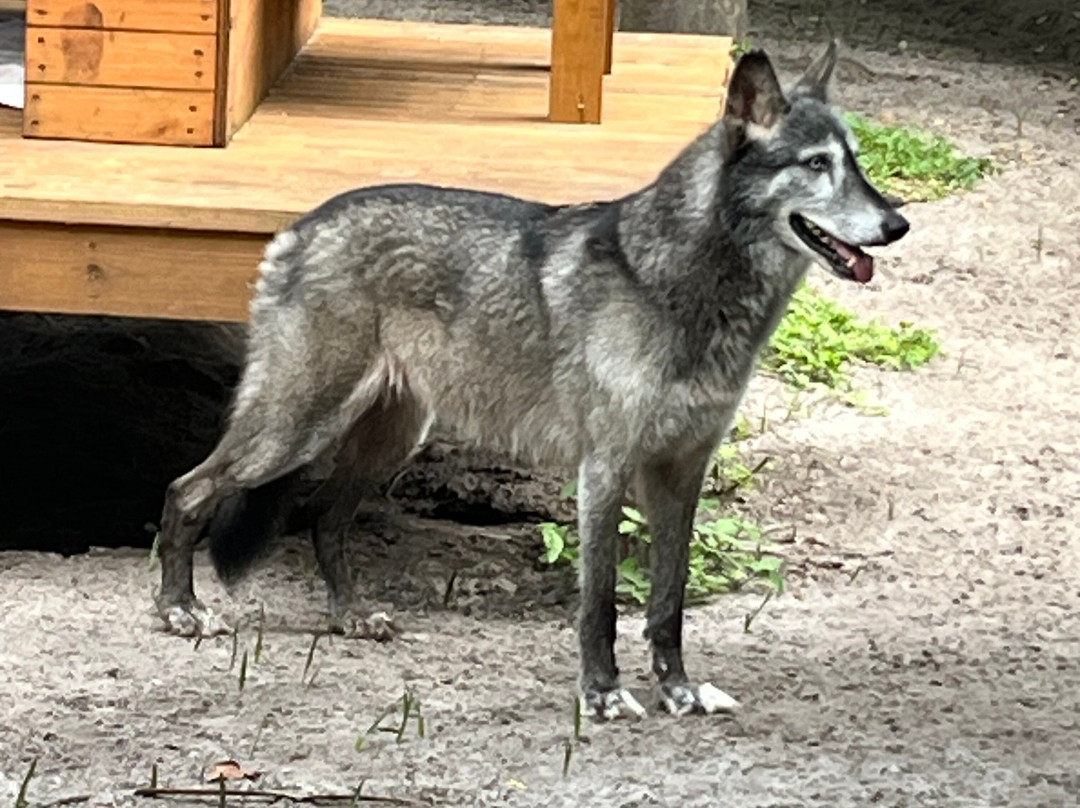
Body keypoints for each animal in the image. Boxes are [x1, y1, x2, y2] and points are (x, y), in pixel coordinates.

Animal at [153, 42, 908, 720]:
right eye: (817, 165)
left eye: (856, 163)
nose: (897, 222)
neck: (675, 287)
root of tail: (302, 225)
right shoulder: (604, 471)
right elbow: (600, 602)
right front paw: (603, 696)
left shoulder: (681, 474)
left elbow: (668, 601)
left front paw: (680, 692)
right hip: (293, 430)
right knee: (187, 490)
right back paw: (181, 611)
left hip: (384, 443)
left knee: (323, 518)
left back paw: (349, 618)